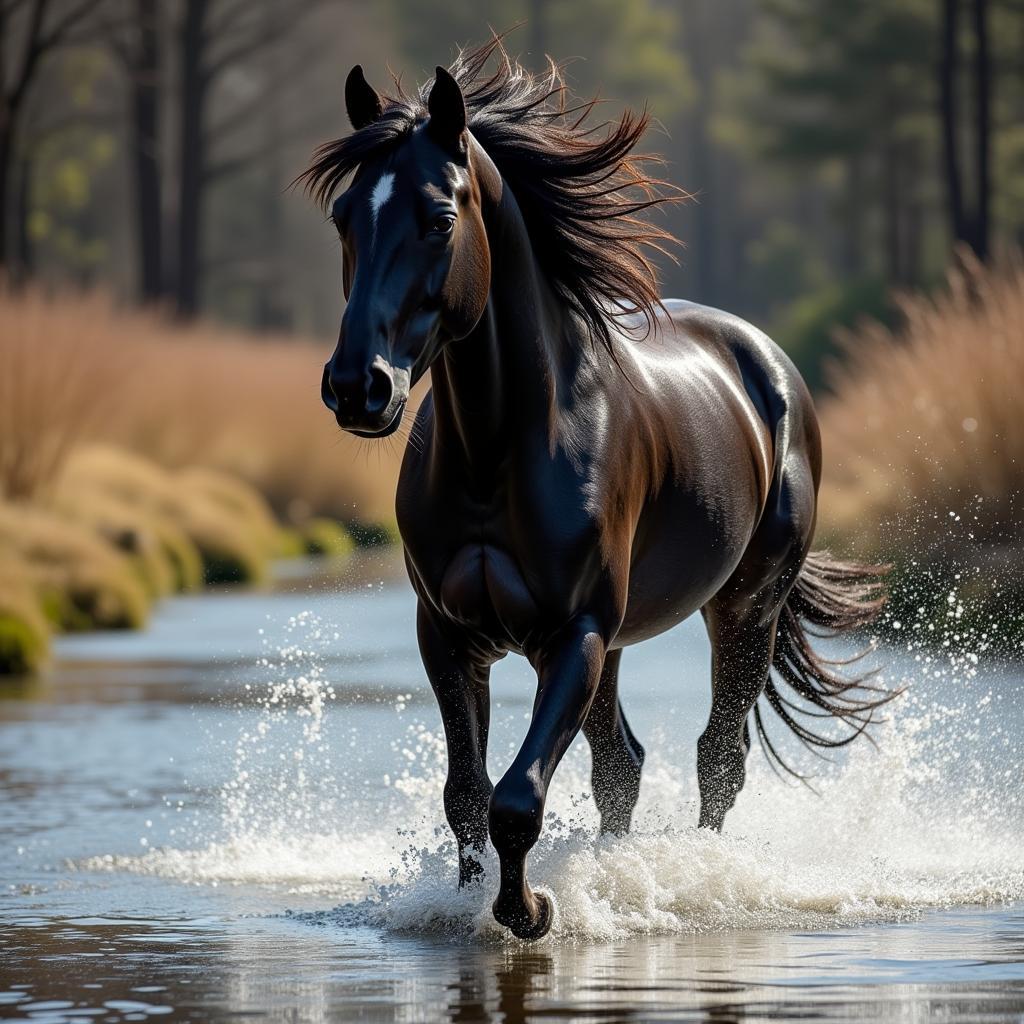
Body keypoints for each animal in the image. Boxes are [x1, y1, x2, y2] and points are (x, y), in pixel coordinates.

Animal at [299, 44, 892, 937]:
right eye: (342, 219)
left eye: (438, 218)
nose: (357, 388)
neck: (500, 452)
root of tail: (768, 365)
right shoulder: (449, 636)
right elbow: (467, 793)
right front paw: (475, 902)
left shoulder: (571, 633)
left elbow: (515, 799)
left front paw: (531, 909)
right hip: (617, 646)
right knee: (624, 765)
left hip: (741, 611)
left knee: (718, 759)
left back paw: (693, 875)